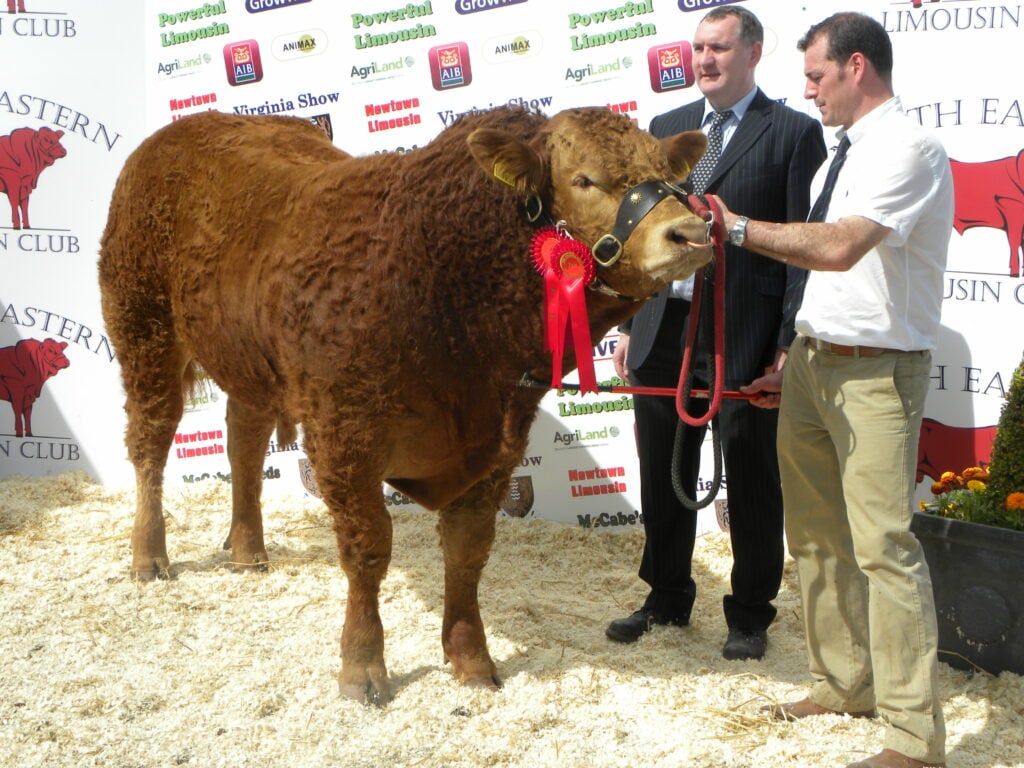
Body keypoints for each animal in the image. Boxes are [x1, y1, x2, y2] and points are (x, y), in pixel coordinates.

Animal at [98, 106, 711, 705]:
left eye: (669, 175)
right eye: (584, 179)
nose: (691, 231)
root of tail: (184, 127)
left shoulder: (494, 448)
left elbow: (467, 553)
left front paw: (471, 660)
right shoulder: (344, 434)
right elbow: (368, 548)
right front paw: (362, 666)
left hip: (247, 359)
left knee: (243, 441)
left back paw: (248, 549)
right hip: (143, 326)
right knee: (151, 438)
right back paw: (149, 555)